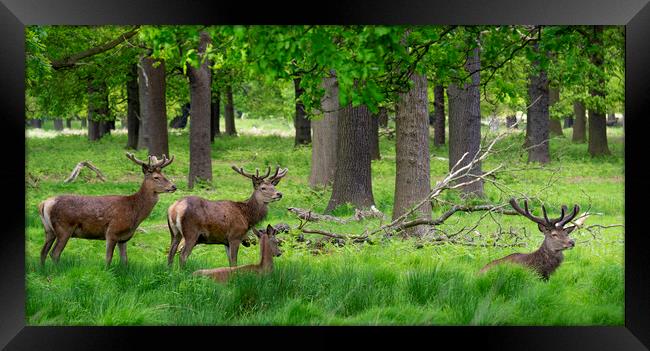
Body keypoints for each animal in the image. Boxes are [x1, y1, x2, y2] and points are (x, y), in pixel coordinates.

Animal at [38, 154, 175, 266]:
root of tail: (44, 203)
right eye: (156, 177)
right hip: (64, 228)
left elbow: (125, 261)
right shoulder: (112, 232)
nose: (174, 186)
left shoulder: (124, 238)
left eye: (165, 175)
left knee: (43, 252)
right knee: (54, 253)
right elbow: (108, 258)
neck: (134, 210)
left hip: (49, 230)